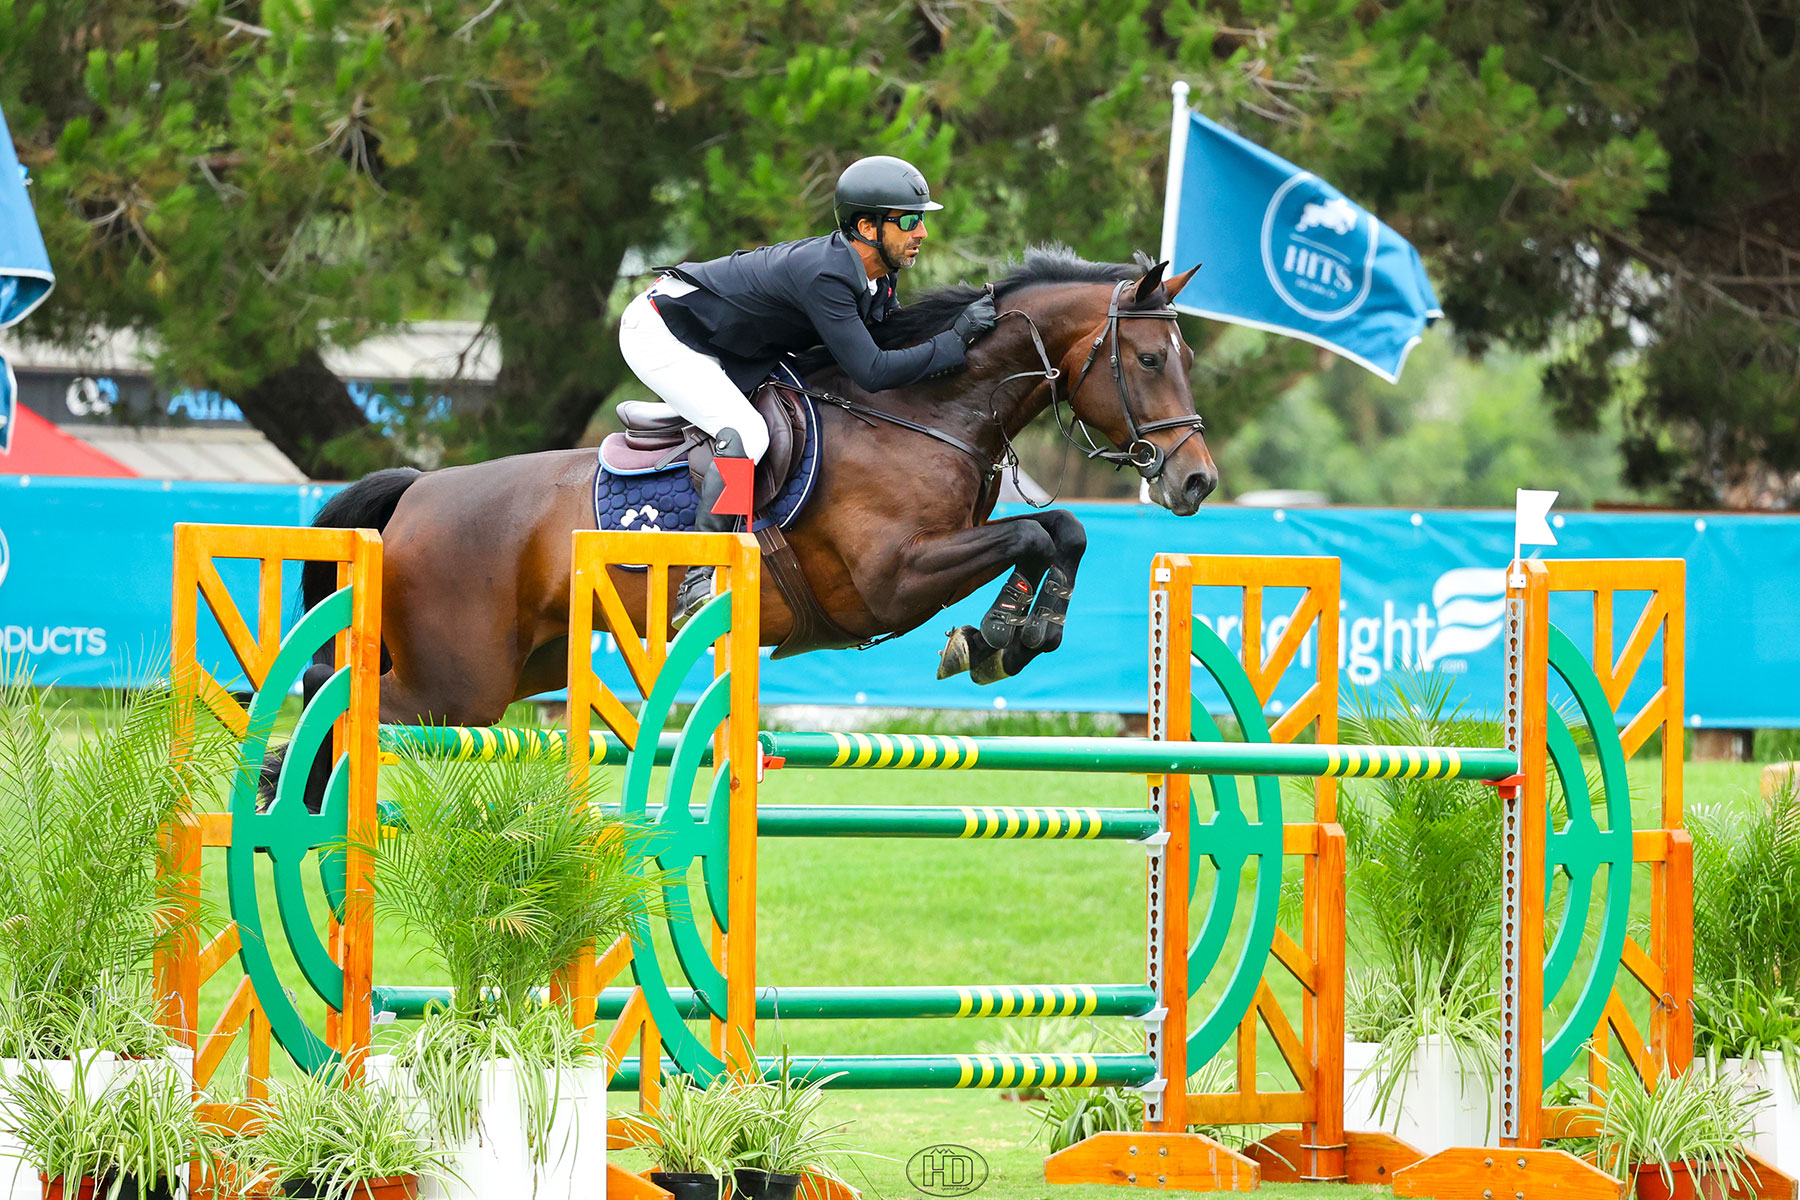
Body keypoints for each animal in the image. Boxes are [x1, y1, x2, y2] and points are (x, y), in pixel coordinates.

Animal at [295, 248, 1216, 741]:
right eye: (1147, 360)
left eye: (1186, 360)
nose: (1197, 478)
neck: (925, 412)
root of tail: (419, 492)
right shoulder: (891, 580)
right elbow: (1035, 533)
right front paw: (993, 638)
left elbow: (1064, 529)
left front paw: (1015, 637)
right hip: (456, 685)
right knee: (334, 696)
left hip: (520, 668)